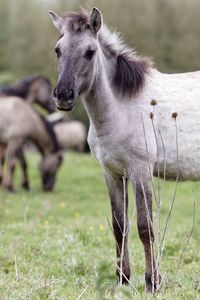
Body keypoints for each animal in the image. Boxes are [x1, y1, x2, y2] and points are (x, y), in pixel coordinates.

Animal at [49, 8, 200, 292]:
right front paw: (122, 279)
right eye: (57, 50)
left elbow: (145, 227)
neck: (122, 108)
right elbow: (120, 226)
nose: (63, 95)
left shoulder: (141, 171)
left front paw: (153, 283)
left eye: (90, 51)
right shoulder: (113, 173)